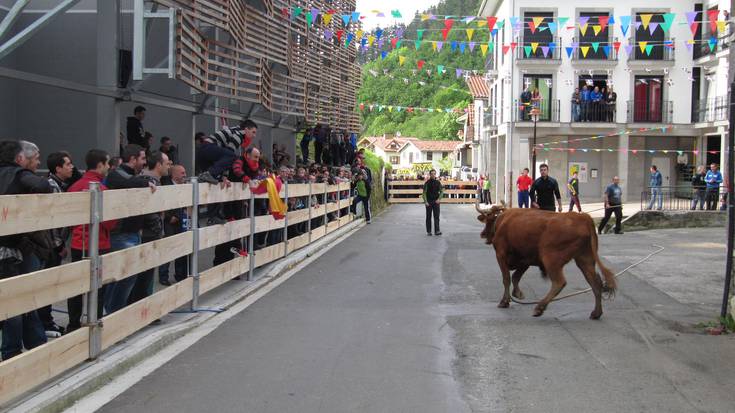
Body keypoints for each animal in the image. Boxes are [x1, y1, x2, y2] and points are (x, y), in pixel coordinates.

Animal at [480, 204, 620, 318]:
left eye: (488, 220)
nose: (482, 234)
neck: (504, 220)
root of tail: (582, 217)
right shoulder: (526, 260)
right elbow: (515, 277)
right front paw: (518, 294)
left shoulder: (501, 255)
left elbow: (507, 279)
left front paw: (504, 301)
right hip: (584, 259)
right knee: (595, 283)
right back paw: (596, 313)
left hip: (550, 259)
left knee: (559, 282)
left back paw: (539, 307)